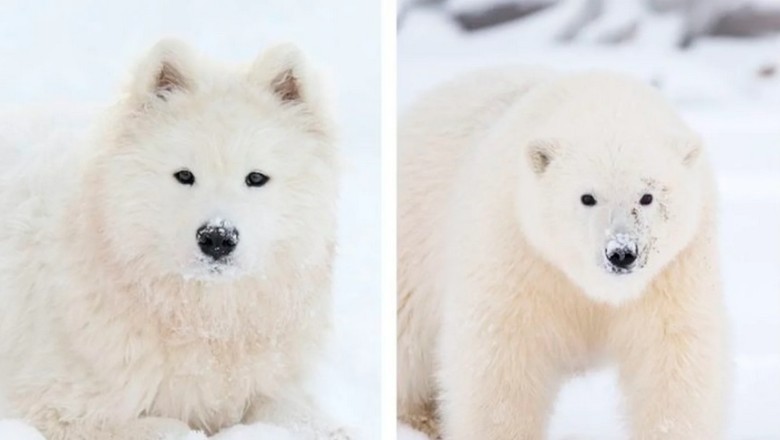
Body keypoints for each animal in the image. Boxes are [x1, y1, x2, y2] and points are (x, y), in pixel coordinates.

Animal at [0, 39, 349, 440]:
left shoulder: (263, 386)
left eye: (256, 178)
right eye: (184, 175)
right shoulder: (59, 407)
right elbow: (172, 427)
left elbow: (298, 413)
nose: (217, 237)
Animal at [397, 68, 728, 440]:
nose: (621, 253)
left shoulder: (676, 268)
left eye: (647, 196)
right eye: (587, 197)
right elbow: (501, 360)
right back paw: (423, 416)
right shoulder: (516, 248)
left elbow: (674, 357)